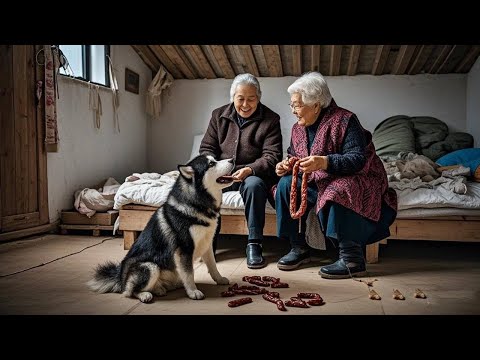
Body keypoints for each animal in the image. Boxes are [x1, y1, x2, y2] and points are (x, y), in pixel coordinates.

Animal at [88, 155, 236, 300]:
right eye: (211, 164)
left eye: (215, 159)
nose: (232, 159)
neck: (197, 204)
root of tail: (120, 277)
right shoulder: (184, 249)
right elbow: (189, 274)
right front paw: (193, 291)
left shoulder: (207, 243)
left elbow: (213, 266)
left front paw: (219, 279)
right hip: (150, 267)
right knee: (129, 292)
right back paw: (144, 294)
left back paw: (160, 289)